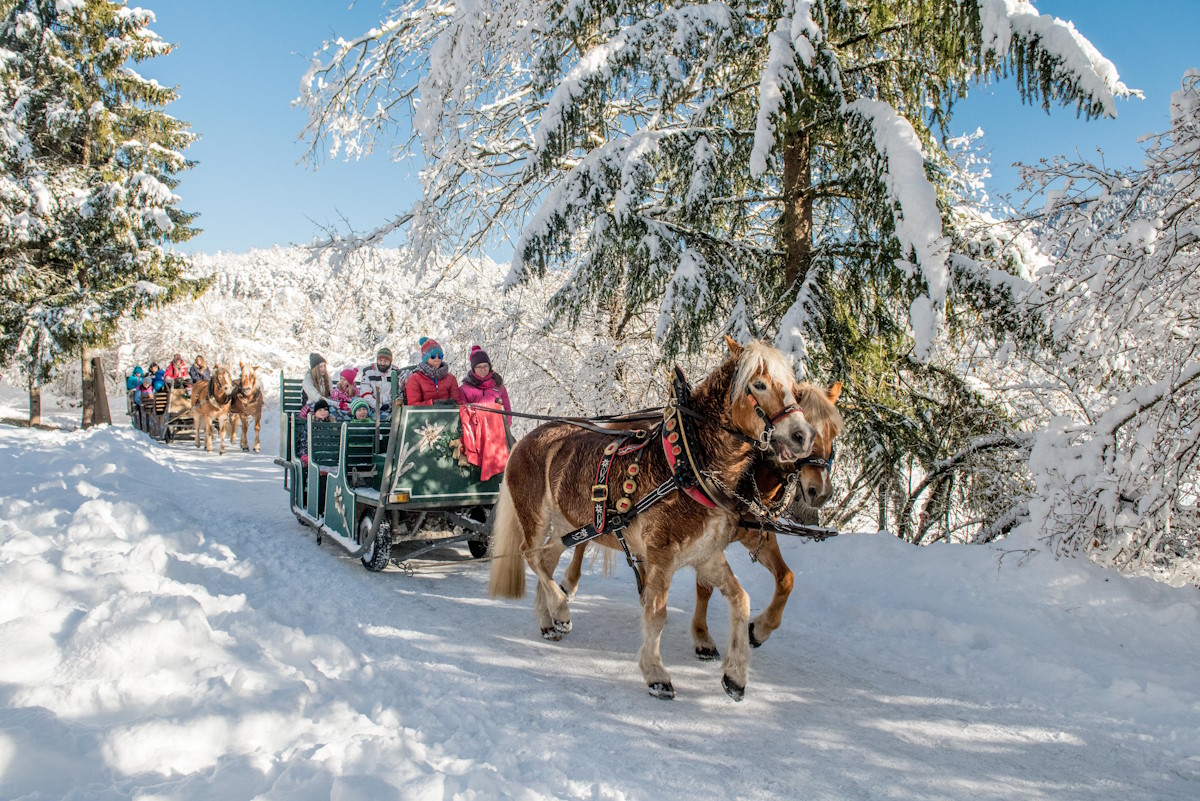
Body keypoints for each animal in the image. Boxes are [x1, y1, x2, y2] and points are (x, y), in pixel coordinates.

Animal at [487, 338, 816, 700]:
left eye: (793, 388)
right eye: (758, 384)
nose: (802, 435)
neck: (688, 463)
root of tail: (526, 438)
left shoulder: (706, 554)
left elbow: (741, 601)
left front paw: (735, 675)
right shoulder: (661, 554)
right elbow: (656, 614)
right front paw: (656, 674)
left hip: (569, 525)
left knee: (545, 560)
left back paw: (549, 621)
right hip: (535, 516)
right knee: (530, 555)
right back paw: (560, 609)